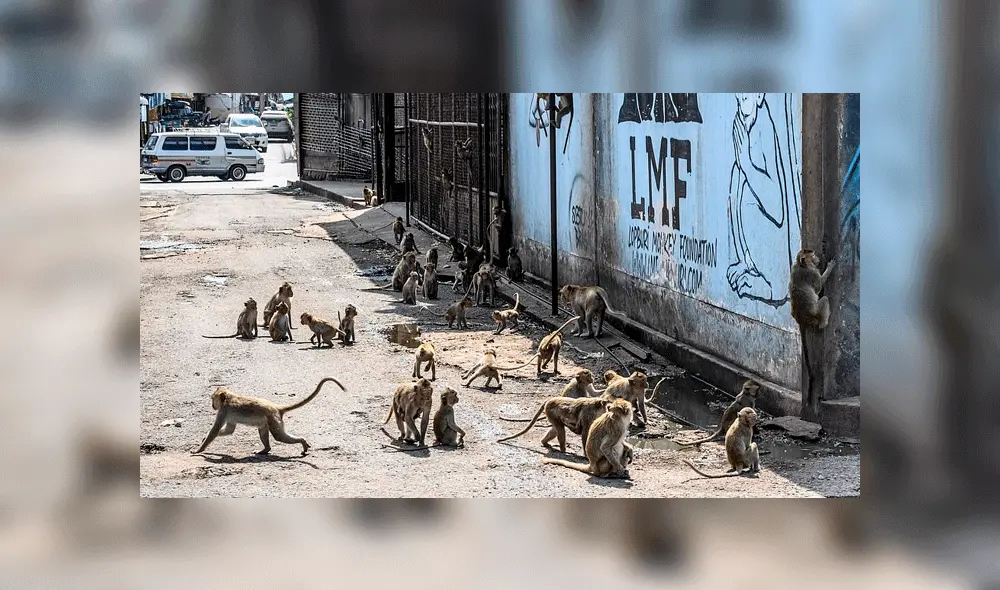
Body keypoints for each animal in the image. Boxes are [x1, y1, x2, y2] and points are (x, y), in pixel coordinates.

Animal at [193, 377, 345, 455]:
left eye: (213, 399)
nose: (212, 405)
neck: (229, 398)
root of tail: (276, 408)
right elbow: (229, 430)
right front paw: (203, 440)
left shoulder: (223, 410)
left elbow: (215, 430)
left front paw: (199, 449)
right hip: (270, 419)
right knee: (263, 430)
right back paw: (266, 449)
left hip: (273, 419)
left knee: (279, 436)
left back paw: (302, 442)